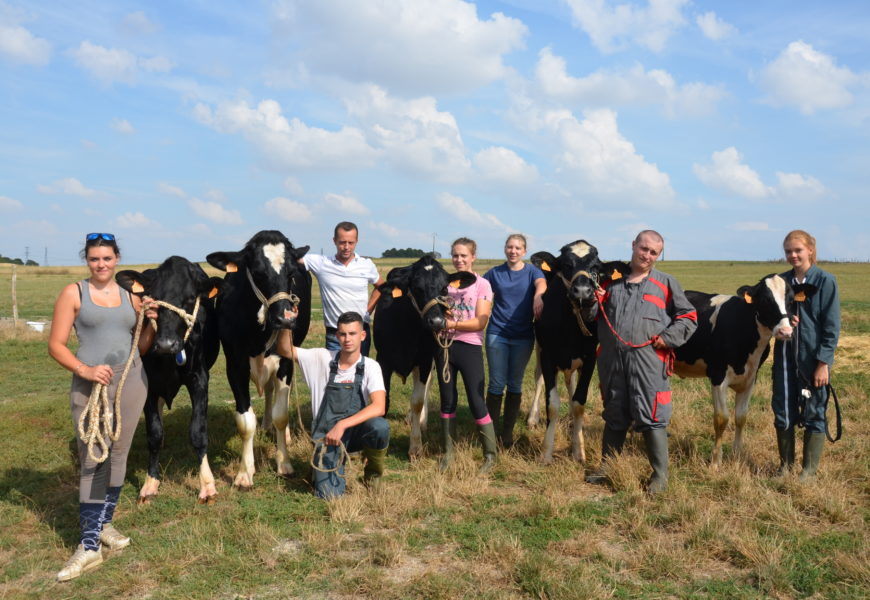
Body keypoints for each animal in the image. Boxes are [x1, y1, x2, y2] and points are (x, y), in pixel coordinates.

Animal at [116, 255, 223, 504]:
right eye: (152, 297)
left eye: (191, 297)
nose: (166, 344)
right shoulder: (149, 384)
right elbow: (154, 434)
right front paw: (150, 483)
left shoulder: (199, 379)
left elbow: (198, 432)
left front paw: (207, 486)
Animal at [206, 230, 312, 488]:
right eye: (257, 272)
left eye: (291, 273)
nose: (285, 318)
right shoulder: (234, 365)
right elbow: (246, 422)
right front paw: (245, 473)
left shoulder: (285, 361)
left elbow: (282, 414)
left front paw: (284, 463)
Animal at [374, 255, 476, 458]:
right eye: (416, 287)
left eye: (444, 288)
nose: (436, 322)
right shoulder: (383, 360)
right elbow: (384, 399)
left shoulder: (424, 360)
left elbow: (417, 401)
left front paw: (415, 447)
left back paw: (420, 421)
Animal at [528, 241, 632, 466]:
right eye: (567, 265)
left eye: (596, 268)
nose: (583, 291)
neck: (570, 327)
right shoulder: (548, 355)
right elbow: (552, 403)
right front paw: (546, 452)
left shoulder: (590, 358)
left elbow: (578, 402)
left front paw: (578, 450)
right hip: (539, 348)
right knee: (538, 379)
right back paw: (532, 417)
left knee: (571, 383)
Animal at [676, 274, 816, 466]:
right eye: (765, 300)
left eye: (791, 300)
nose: (785, 331)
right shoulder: (718, 376)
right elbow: (722, 418)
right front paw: (715, 461)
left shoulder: (750, 378)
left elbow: (741, 417)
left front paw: (736, 456)